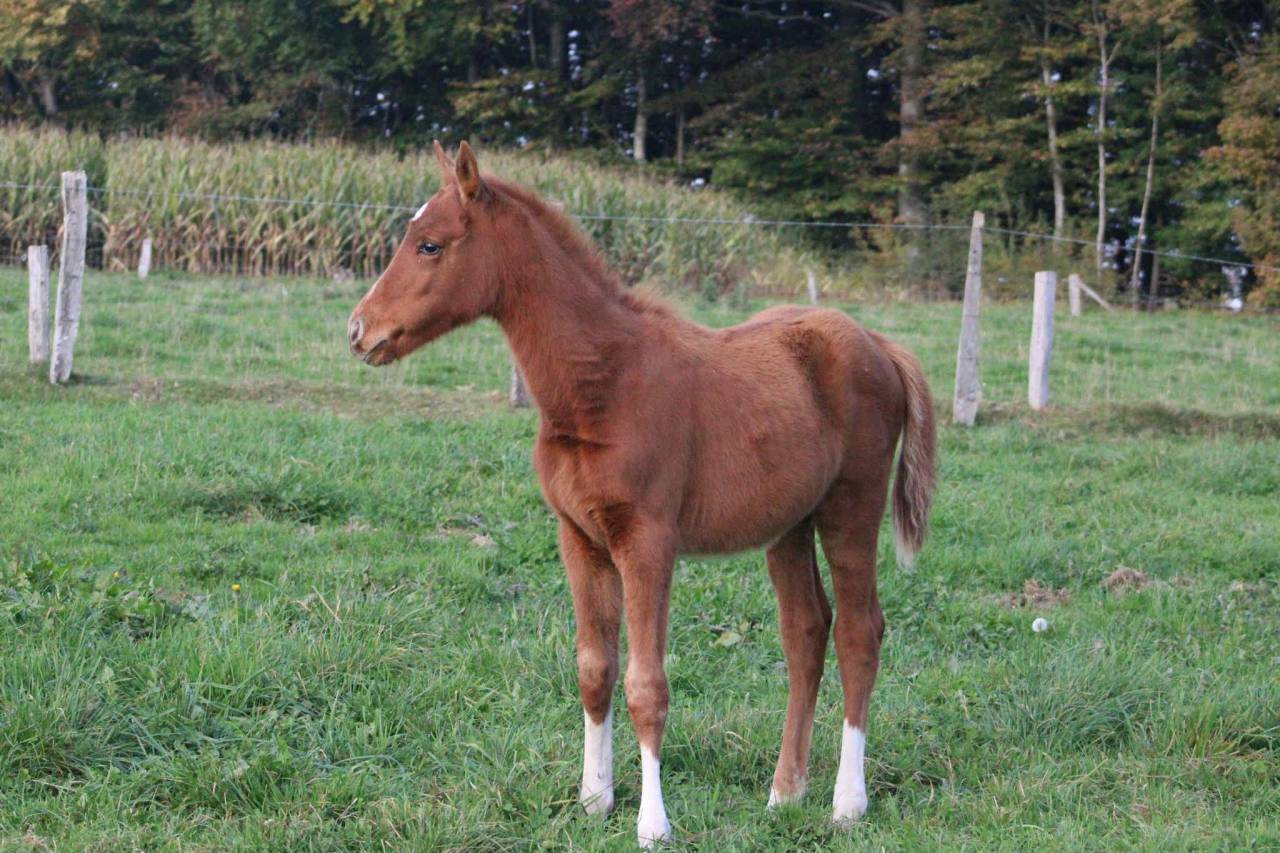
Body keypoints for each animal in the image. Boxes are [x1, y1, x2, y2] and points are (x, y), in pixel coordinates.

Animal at [348, 141, 937, 848]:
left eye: (430, 245)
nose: (359, 331)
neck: (605, 381)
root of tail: (880, 344)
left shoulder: (647, 543)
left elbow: (646, 684)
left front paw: (653, 823)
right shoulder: (579, 539)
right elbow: (595, 670)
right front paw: (593, 798)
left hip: (852, 507)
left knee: (858, 630)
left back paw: (847, 802)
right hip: (788, 526)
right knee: (805, 632)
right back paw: (784, 794)